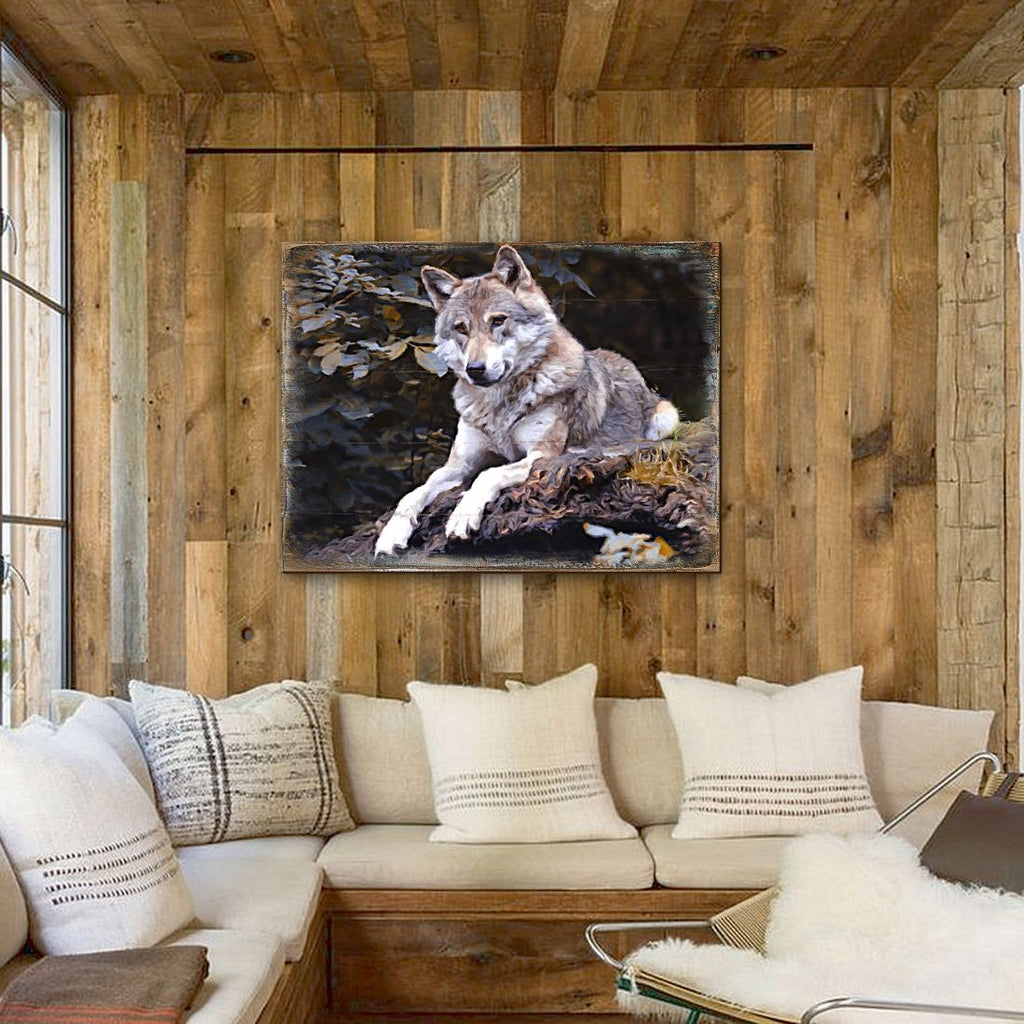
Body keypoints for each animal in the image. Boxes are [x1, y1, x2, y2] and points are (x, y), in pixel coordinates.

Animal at [374, 245, 680, 556]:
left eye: (498, 321)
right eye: (461, 328)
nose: (475, 369)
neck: (498, 406)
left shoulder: (540, 455)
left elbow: (489, 474)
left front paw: (462, 517)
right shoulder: (458, 466)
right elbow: (413, 493)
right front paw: (390, 535)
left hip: (666, 417)